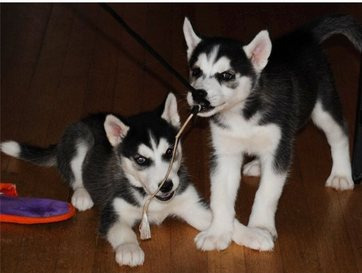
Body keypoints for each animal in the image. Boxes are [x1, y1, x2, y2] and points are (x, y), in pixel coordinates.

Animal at [184, 15, 362, 251]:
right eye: (196, 71)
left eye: (227, 75)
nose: (198, 94)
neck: (242, 113)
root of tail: (303, 35)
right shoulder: (225, 153)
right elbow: (220, 196)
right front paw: (218, 232)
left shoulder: (279, 149)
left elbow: (267, 193)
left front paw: (260, 227)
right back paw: (257, 165)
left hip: (323, 108)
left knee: (340, 133)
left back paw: (341, 174)